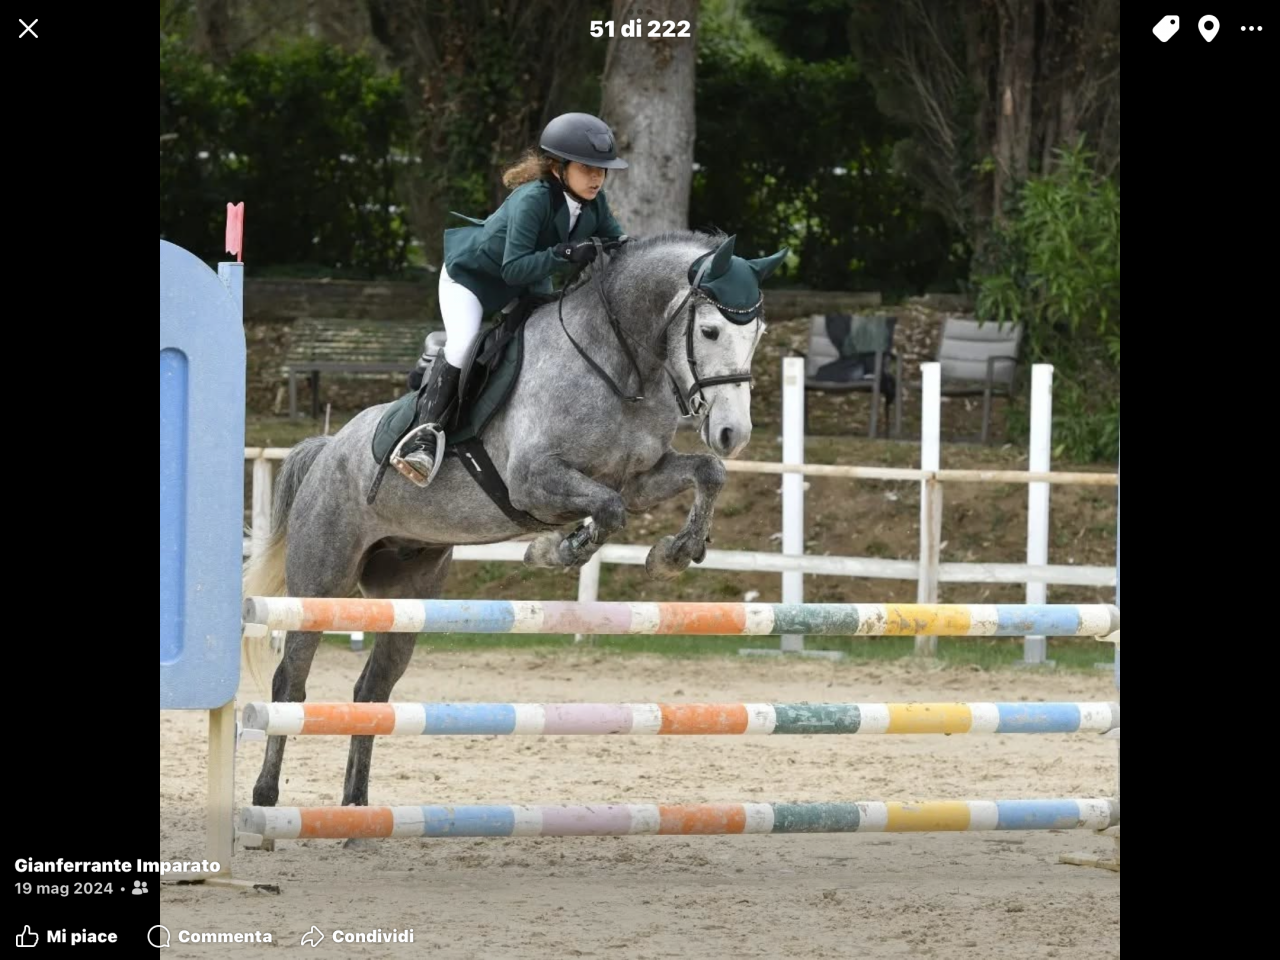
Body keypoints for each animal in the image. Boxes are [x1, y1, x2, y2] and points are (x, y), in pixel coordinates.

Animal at [242, 230, 785, 824]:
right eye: (710, 330)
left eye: (757, 333)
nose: (734, 432)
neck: (620, 365)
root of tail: (327, 448)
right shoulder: (533, 480)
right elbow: (607, 510)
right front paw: (556, 550)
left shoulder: (640, 478)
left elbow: (703, 474)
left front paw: (673, 554)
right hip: (322, 584)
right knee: (291, 682)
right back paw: (265, 799)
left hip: (406, 597)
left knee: (372, 692)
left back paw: (357, 809)